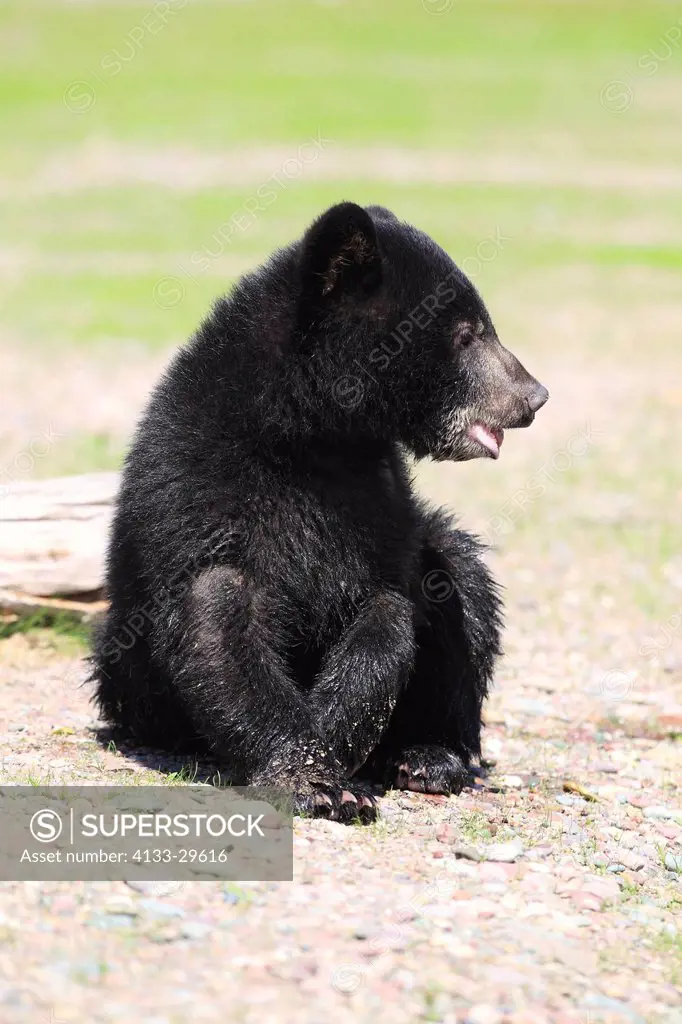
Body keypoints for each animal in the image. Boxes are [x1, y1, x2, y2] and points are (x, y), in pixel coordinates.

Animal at [91, 201, 548, 823]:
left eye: (481, 327)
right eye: (466, 335)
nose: (535, 396)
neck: (314, 436)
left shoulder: (381, 504)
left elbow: (388, 612)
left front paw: (336, 748)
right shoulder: (197, 487)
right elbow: (215, 616)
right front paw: (312, 777)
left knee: (462, 582)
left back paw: (428, 757)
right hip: (126, 679)